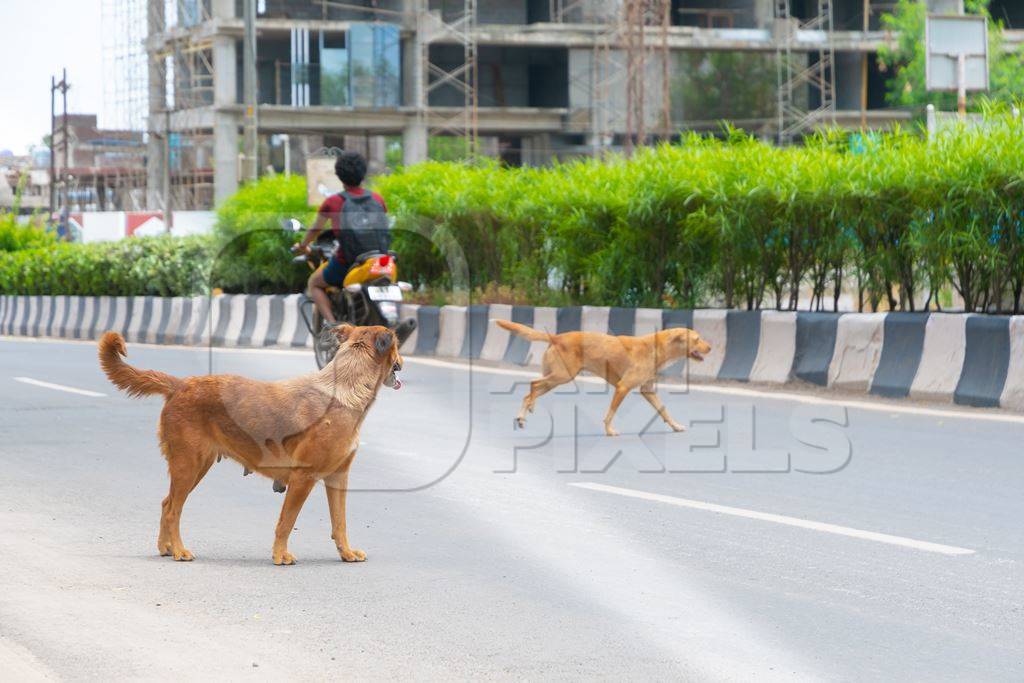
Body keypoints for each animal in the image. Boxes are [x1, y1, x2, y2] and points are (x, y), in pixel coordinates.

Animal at [96, 325, 399, 565]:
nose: (401, 364)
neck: (346, 386)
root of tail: (180, 384)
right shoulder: (303, 478)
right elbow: (286, 522)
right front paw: (280, 555)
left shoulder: (338, 477)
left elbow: (340, 522)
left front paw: (346, 553)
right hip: (189, 465)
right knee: (173, 510)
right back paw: (180, 551)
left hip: (197, 467)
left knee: (166, 503)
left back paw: (166, 547)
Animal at [495, 321, 712, 438]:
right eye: (697, 339)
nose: (710, 347)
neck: (656, 348)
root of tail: (556, 337)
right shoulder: (622, 387)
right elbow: (610, 413)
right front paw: (609, 430)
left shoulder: (647, 390)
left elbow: (663, 410)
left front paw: (675, 426)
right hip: (562, 376)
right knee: (533, 385)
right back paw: (529, 408)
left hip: (556, 378)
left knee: (530, 391)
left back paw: (524, 413)